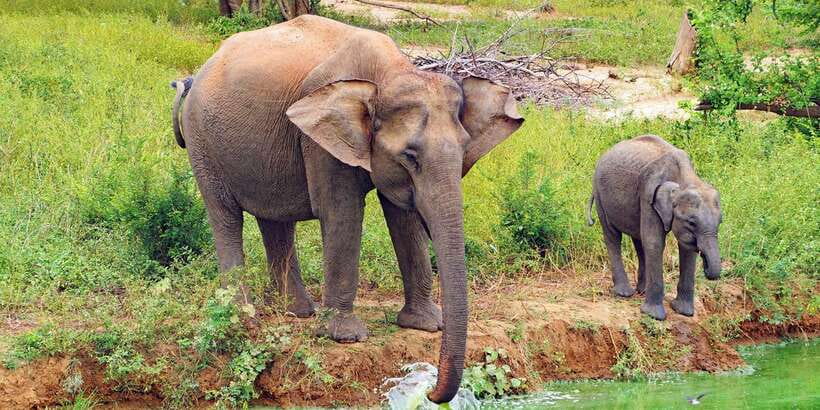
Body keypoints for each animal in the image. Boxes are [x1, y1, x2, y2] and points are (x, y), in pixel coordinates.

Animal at [170, 15, 523, 402]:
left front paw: (425, 325)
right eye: (410, 157)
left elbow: (403, 218)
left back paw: (297, 312)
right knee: (225, 216)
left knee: (274, 219)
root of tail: (194, 77)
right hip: (202, 143)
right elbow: (343, 212)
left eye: (463, 151)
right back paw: (244, 318)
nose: (430, 392)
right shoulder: (320, 139)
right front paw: (345, 336)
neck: (391, 72)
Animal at [586, 135, 722, 321]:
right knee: (612, 235)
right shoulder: (648, 194)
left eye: (720, 223)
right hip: (600, 193)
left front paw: (684, 312)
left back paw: (642, 291)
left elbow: (687, 247)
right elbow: (654, 242)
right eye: (692, 223)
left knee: (638, 239)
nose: (707, 265)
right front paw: (655, 316)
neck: (684, 178)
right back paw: (624, 293)